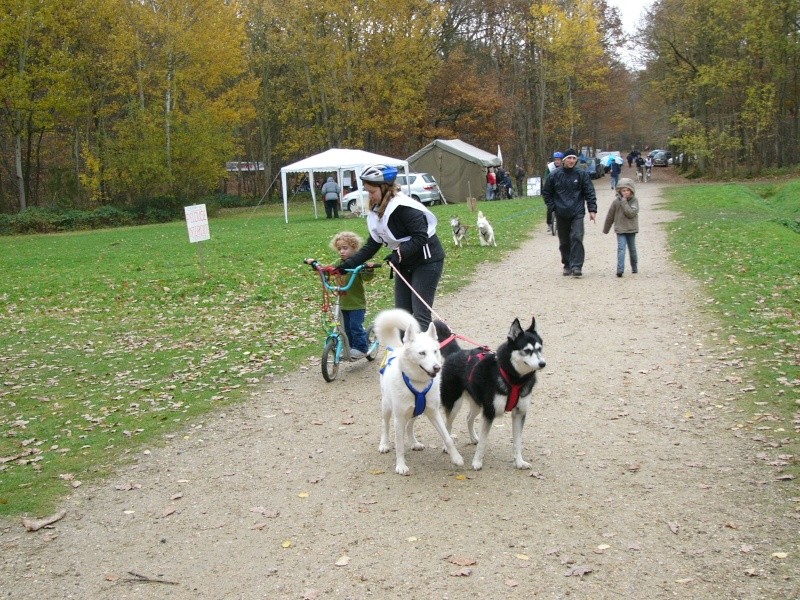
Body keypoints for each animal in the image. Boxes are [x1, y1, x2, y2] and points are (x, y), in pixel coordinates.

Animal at [374, 310, 462, 474]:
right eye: (422, 353)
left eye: (435, 351)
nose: (437, 368)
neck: (418, 383)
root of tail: (397, 348)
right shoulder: (399, 418)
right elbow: (399, 445)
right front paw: (401, 465)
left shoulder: (434, 413)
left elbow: (447, 437)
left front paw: (456, 457)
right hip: (387, 407)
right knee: (385, 424)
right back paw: (384, 444)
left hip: (417, 411)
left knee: (410, 425)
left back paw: (414, 442)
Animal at [438, 316, 544, 472]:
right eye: (527, 350)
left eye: (540, 348)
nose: (543, 363)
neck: (514, 379)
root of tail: (456, 353)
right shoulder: (489, 412)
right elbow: (483, 442)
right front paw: (477, 462)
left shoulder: (519, 413)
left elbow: (517, 442)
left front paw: (519, 462)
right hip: (454, 404)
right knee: (447, 425)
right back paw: (446, 445)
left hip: (477, 403)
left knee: (469, 418)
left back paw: (473, 437)